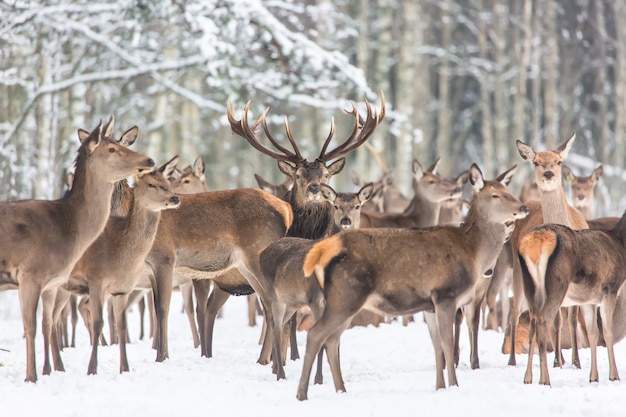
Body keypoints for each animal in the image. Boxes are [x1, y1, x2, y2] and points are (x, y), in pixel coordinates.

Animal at [0, 116, 154, 380]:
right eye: (111, 149)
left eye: (120, 143)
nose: (149, 161)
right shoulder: (29, 274)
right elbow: (30, 326)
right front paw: (31, 377)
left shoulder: (52, 283)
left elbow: (46, 323)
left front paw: (47, 372)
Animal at [61, 156, 179, 374]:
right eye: (151, 184)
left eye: (167, 183)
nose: (175, 198)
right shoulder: (96, 281)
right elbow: (98, 321)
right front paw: (92, 369)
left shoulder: (122, 289)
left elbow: (121, 324)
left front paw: (125, 368)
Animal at [298, 162, 528, 400]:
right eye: (495, 195)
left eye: (507, 190)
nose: (523, 208)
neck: (473, 252)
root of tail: (323, 252)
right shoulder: (446, 294)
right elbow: (447, 344)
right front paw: (454, 386)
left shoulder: (430, 305)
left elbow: (437, 346)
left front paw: (440, 386)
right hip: (346, 295)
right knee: (316, 334)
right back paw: (303, 393)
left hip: (346, 300)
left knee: (332, 340)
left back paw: (341, 389)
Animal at [504, 132, 588, 368]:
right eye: (536, 162)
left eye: (558, 161)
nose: (548, 173)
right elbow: (557, 318)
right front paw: (558, 361)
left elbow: (571, 318)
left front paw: (575, 361)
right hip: (518, 270)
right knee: (516, 310)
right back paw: (513, 359)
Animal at [516, 210, 624, 386]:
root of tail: (537, 239)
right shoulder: (610, 288)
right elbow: (608, 331)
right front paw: (614, 376)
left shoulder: (589, 300)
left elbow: (593, 332)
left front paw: (593, 377)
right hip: (556, 285)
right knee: (543, 322)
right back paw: (545, 379)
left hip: (529, 287)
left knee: (533, 324)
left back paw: (528, 378)